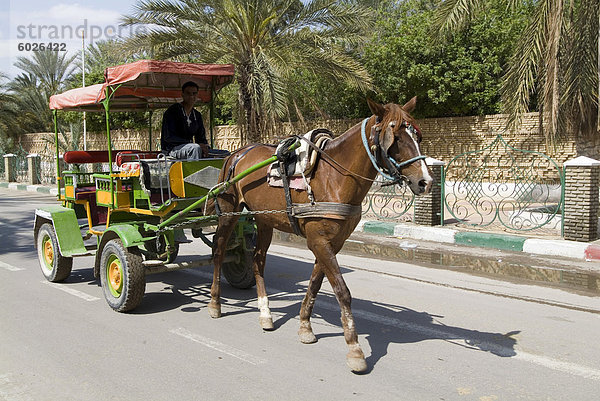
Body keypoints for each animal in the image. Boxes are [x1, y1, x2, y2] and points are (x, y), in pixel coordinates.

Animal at [206, 97, 432, 372]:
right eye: (395, 137)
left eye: (417, 135)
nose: (425, 182)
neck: (334, 178)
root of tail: (236, 153)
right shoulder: (318, 241)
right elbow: (342, 291)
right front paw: (355, 349)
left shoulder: (332, 242)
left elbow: (315, 283)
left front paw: (305, 326)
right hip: (229, 212)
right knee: (219, 251)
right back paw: (215, 303)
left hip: (264, 218)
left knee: (258, 261)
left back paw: (265, 313)